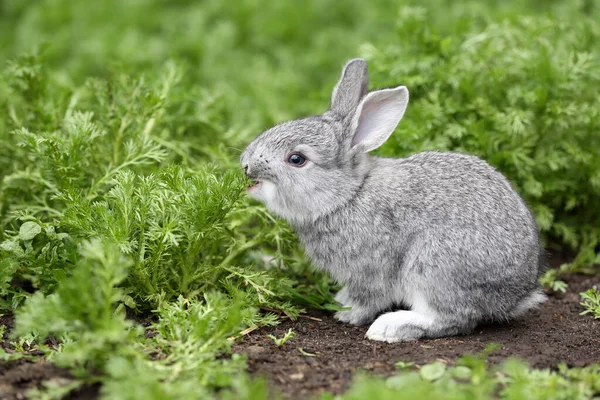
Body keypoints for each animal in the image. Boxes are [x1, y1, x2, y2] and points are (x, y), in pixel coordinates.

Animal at [239, 57, 544, 342]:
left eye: (296, 159)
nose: (245, 164)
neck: (348, 196)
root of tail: (515, 296)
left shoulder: (371, 269)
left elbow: (369, 298)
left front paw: (347, 315)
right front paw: (341, 300)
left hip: (432, 267)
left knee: (453, 318)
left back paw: (390, 327)